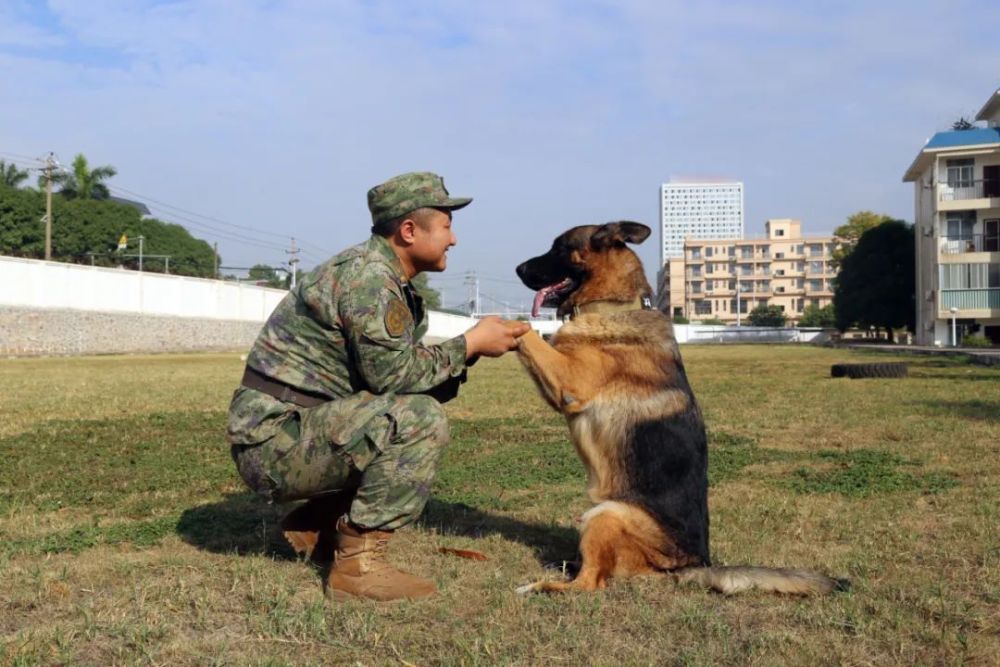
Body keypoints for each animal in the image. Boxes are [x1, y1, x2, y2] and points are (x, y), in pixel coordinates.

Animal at [512, 222, 848, 596]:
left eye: (559, 248)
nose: (518, 269)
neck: (611, 306)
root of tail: (691, 564)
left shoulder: (569, 383)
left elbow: (527, 333)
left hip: (605, 513)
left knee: (592, 583)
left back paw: (541, 586)